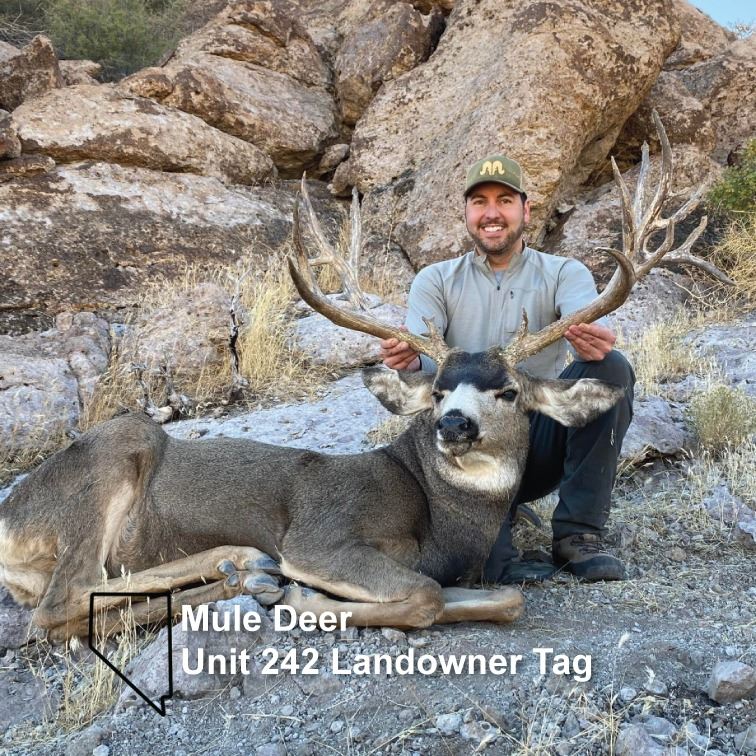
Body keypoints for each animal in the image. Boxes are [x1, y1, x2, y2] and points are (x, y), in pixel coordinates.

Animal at [0, 114, 728, 642]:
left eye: (508, 390)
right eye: (437, 391)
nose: (453, 424)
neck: (442, 519)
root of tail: (9, 513)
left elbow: (509, 596)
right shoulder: (321, 537)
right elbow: (423, 592)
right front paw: (300, 594)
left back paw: (238, 570)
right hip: (116, 450)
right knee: (58, 609)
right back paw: (247, 568)